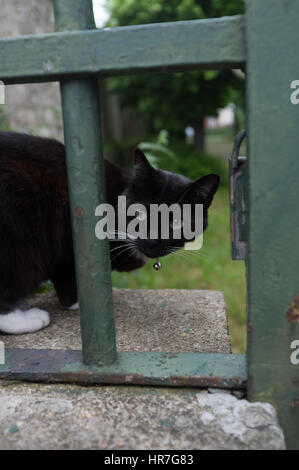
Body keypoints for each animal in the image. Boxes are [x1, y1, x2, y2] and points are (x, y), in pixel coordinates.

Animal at [0, 130, 220, 332]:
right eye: (140, 213)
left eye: (176, 222)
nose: (152, 240)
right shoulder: (66, 235)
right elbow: (66, 274)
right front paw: (84, 302)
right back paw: (28, 319)